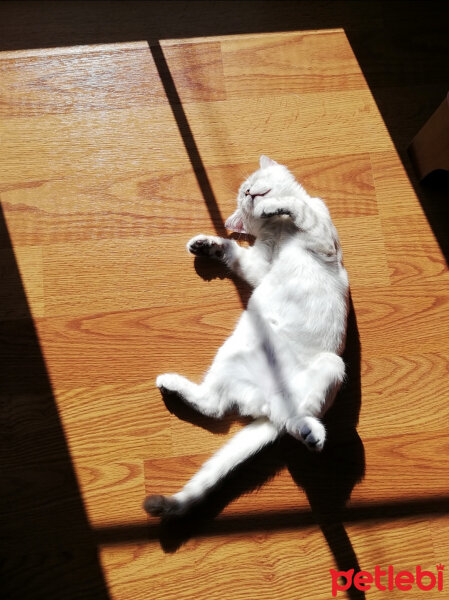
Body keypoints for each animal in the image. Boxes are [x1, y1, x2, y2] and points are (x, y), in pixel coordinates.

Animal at [145, 157, 348, 516]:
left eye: (250, 183)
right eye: (243, 193)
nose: (251, 192)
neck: (280, 230)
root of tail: (266, 403)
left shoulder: (322, 238)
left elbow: (298, 206)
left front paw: (272, 206)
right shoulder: (260, 265)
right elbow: (236, 252)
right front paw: (206, 244)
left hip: (331, 365)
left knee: (289, 418)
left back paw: (312, 434)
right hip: (230, 357)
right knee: (216, 406)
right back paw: (170, 383)